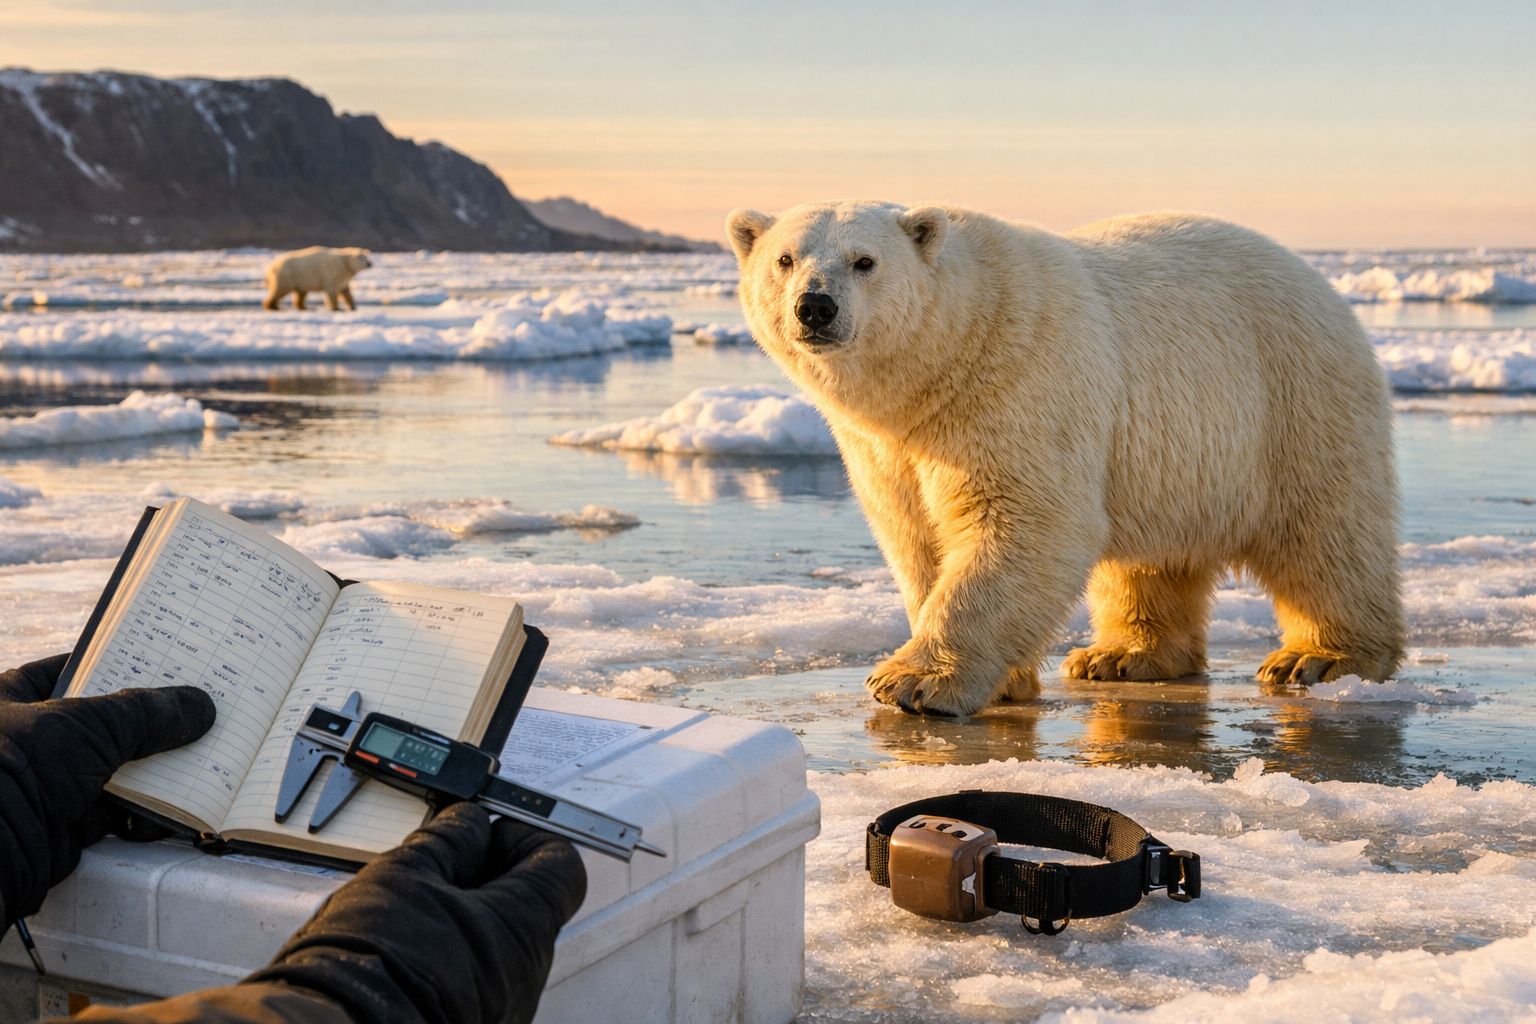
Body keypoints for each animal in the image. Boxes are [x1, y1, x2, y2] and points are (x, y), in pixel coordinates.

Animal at [727, 200, 1404, 716]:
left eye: (864, 261)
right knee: (1152, 558)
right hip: (1167, 456)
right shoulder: (887, 447)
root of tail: (1318, 281)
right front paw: (997, 678)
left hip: (1291, 398)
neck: (944, 361)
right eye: (785, 259)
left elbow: (1022, 522)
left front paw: (914, 681)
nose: (815, 306)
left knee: (1324, 531)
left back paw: (1318, 658)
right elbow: (915, 535)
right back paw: (1123, 655)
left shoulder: (1016, 384)